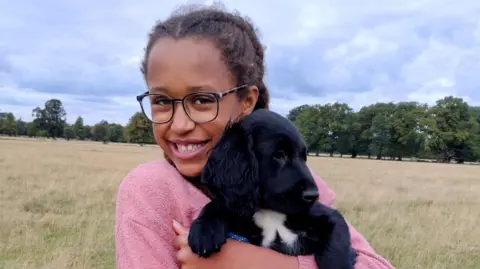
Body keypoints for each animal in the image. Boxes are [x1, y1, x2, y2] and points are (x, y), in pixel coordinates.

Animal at [188, 109, 356, 268]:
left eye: (304, 157)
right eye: (279, 155)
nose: (313, 196)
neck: (270, 211)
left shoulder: (330, 218)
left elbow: (336, 253)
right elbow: (220, 205)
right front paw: (205, 229)